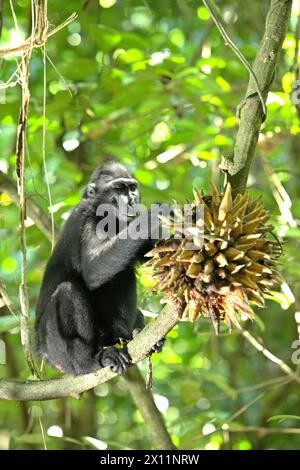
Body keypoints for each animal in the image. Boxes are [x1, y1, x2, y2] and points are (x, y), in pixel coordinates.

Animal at [35, 162, 166, 374]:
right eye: (119, 188)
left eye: (132, 188)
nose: (132, 200)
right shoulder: (85, 216)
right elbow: (92, 271)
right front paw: (151, 217)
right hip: (54, 351)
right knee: (67, 292)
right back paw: (88, 362)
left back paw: (137, 334)